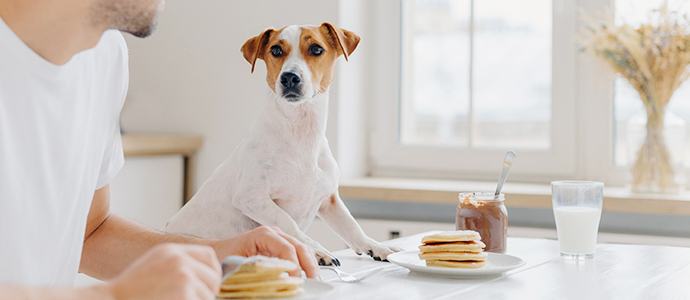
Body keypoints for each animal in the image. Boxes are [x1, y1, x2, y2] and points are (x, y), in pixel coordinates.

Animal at [162, 23, 400, 266]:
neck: (301, 134)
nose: (289, 78)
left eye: (316, 49)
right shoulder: (251, 198)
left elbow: (352, 227)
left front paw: (376, 246)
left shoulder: (329, 200)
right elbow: (287, 222)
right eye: (276, 50)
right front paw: (316, 250)